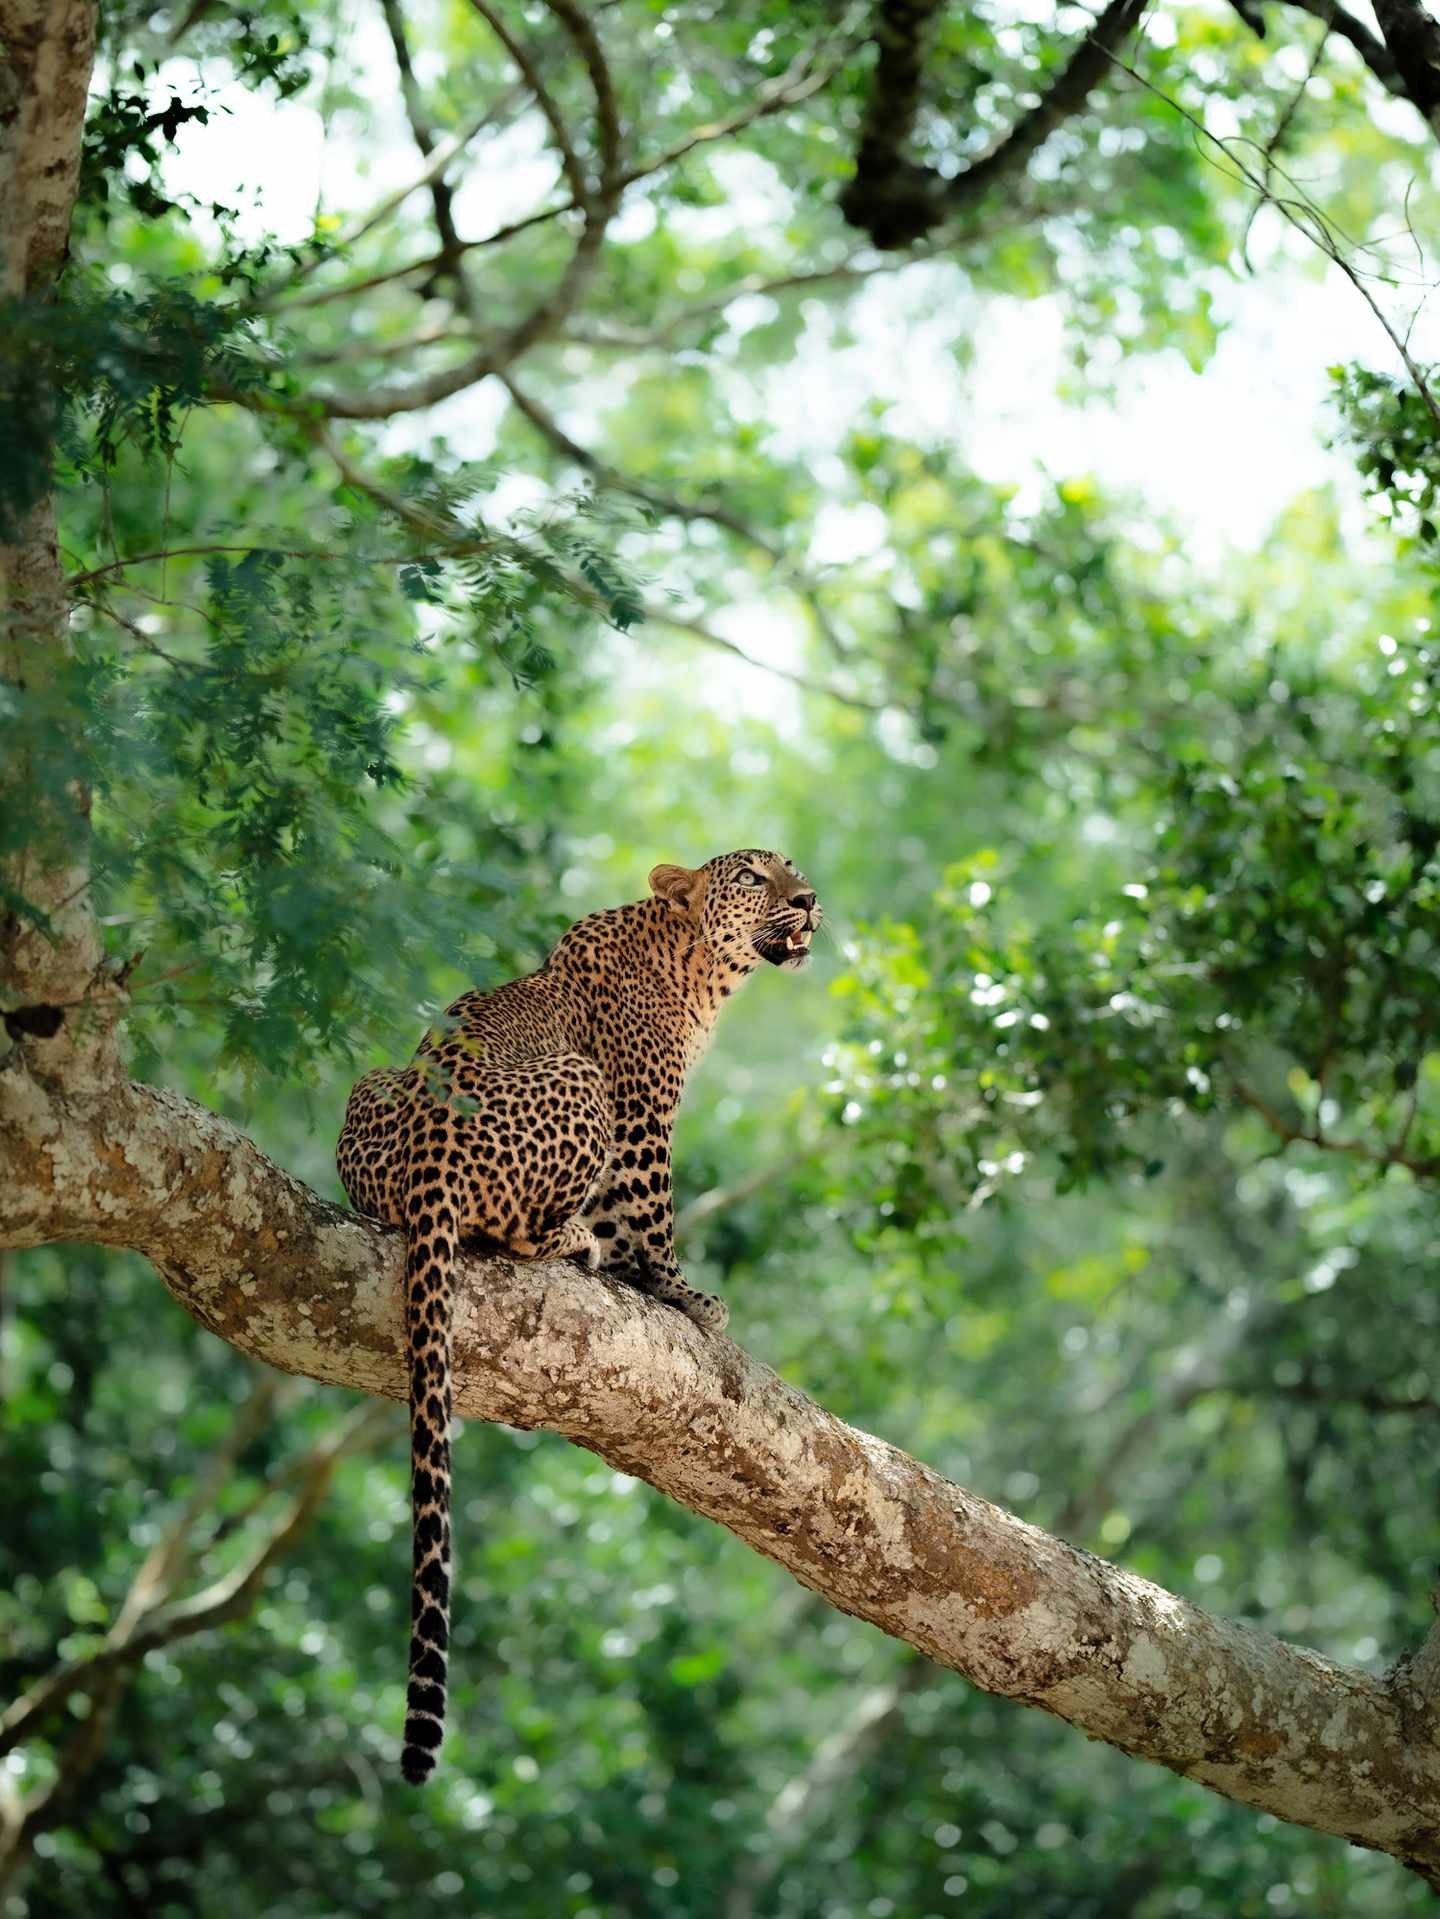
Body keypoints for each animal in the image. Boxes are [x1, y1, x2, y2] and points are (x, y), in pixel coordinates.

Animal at [336, 848, 821, 1785]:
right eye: (753, 875)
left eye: (791, 868)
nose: (811, 898)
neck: (698, 968)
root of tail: (430, 1144)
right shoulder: (642, 1111)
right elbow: (651, 1215)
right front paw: (683, 1293)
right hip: (581, 1082)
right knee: (522, 1234)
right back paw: (574, 1245)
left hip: (370, 1085)